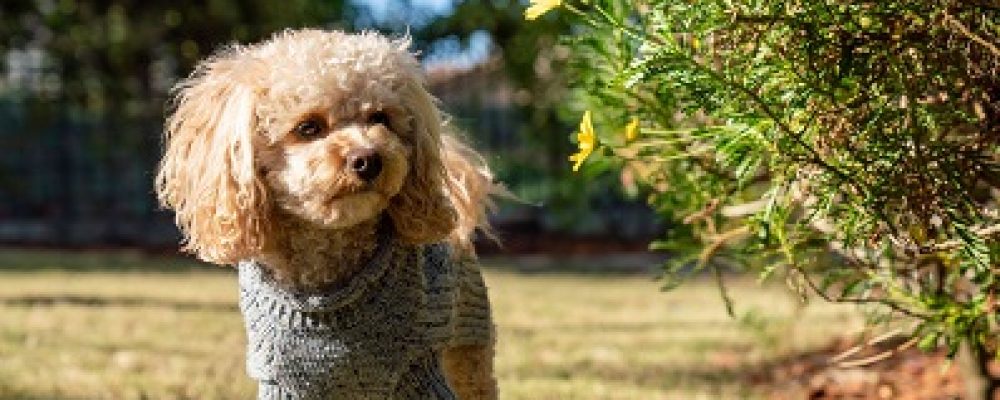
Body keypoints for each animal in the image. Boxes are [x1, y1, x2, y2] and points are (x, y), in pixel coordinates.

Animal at [155, 29, 499, 399]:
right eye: (308, 127)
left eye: (380, 118)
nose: (369, 159)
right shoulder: (285, 383)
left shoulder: (418, 371)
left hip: (469, 351)